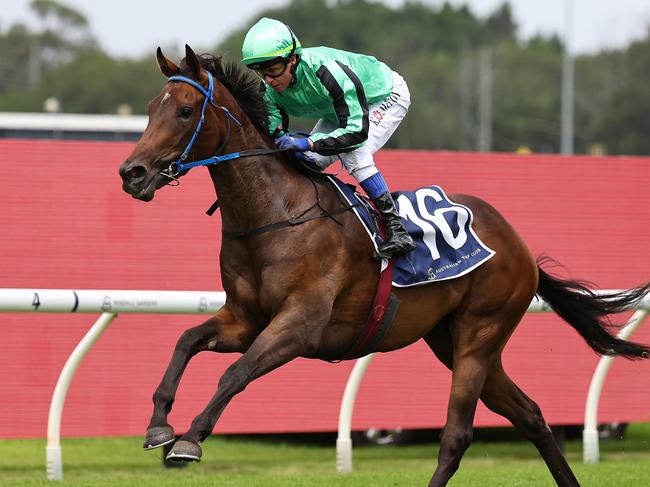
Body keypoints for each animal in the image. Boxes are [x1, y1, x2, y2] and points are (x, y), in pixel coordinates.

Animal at [117, 43, 648, 486]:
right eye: (151, 108)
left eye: (186, 111)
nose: (131, 173)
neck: (276, 214)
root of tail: (519, 245)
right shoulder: (244, 320)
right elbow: (186, 341)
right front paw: (159, 426)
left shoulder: (299, 326)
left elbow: (234, 374)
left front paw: (189, 439)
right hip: (454, 341)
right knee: (532, 415)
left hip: (479, 334)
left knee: (457, 436)